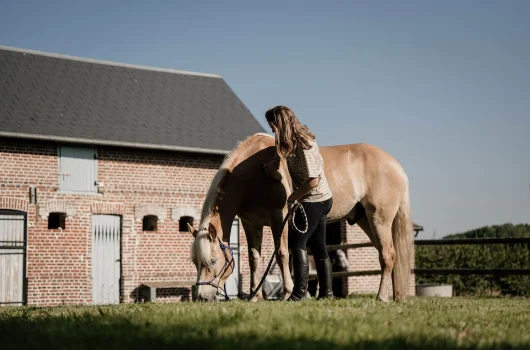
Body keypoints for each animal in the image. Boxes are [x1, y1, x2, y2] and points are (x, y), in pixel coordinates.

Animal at [188, 133, 414, 302]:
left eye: (213, 260)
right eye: (195, 262)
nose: (201, 297)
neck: (253, 173)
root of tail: (396, 166)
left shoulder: (279, 218)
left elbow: (282, 254)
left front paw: (287, 293)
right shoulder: (251, 224)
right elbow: (254, 258)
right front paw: (255, 296)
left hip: (379, 219)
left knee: (388, 255)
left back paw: (381, 297)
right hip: (365, 220)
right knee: (387, 254)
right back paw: (395, 296)